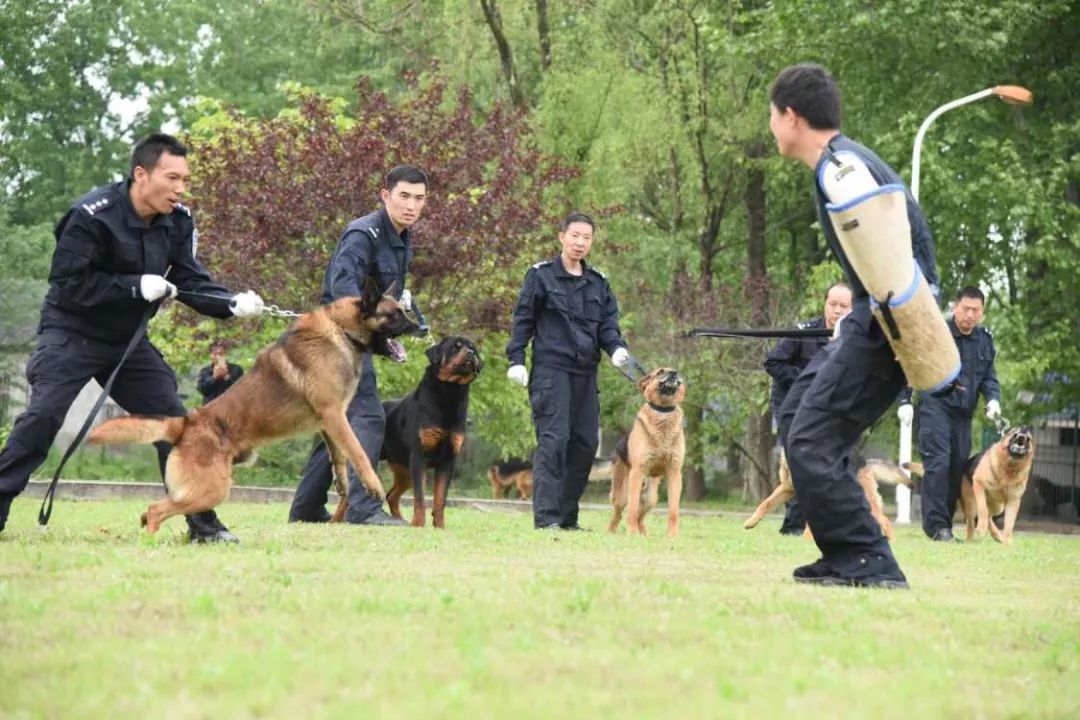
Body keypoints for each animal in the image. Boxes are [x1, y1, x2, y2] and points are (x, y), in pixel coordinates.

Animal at [87, 278, 421, 533]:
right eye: (395, 315)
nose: (423, 329)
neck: (341, 329)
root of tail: (188, 423)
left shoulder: (328, 421)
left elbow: (338, 458)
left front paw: (343, 488)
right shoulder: (334, 415)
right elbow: (359, 451)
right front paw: (372, 484)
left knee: (151, 511)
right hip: (210, 489)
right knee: (156, 509)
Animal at [380, 334, 481, 526]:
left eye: (473, 348)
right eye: (455, 347)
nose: (471, 353)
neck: (451, 392)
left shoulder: (448, 460)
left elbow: (440, 499)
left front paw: (439, 526)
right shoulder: (419, 456)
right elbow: (420, 497)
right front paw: (419, 524)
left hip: (404, 468)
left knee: (391, 495)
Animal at [609, 369, 682, 537]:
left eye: (675, 371)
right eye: (660, 372)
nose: (674, 373)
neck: (663, 410)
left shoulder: (675, 473)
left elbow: (673, 511)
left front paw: (672, 536)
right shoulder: (637, 473)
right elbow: (632, 510)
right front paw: (632, 534)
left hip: (650, 498)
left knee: (640, 517)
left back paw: (644, 535)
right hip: (622, 496)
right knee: (619, 515)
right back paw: (611, 533)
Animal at [747, 453, 924, 544]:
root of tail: (865, 462)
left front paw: (807, 540)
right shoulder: (786, 488)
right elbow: (765, 503)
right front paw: (751, 521)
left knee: (885, 520)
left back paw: (891, 541)